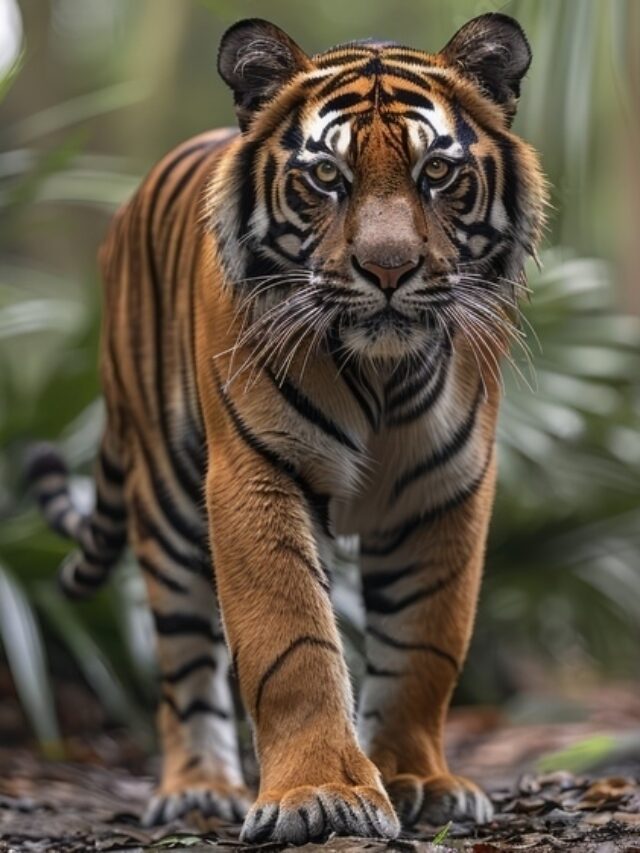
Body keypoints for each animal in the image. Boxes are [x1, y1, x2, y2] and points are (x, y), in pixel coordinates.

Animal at [27, 12, 546, 845]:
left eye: (437, 172)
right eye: (326, 177)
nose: (389, 268)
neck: (381, 373)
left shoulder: (445, 489)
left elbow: (426, 645)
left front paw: (419, 779)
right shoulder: (253, 473)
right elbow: (291, 640)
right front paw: (319, 792)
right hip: (166, 503)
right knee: (183, 663)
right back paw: (198, 789)